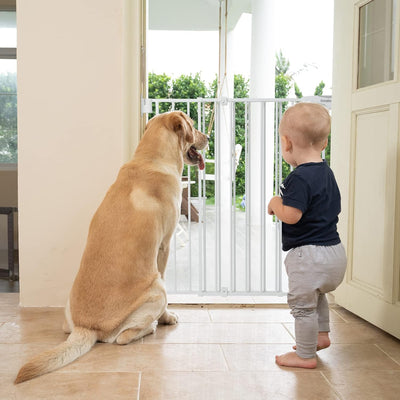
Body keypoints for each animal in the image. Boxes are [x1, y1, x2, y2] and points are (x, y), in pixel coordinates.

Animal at [14, 111, 209, 382]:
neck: (152, 157)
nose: (208, 137)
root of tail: (86, 328)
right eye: (193, 124)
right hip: (157, 289)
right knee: (123, 337)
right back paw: (150, 327)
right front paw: (168, 318)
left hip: (68, 313)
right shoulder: (164, 246)